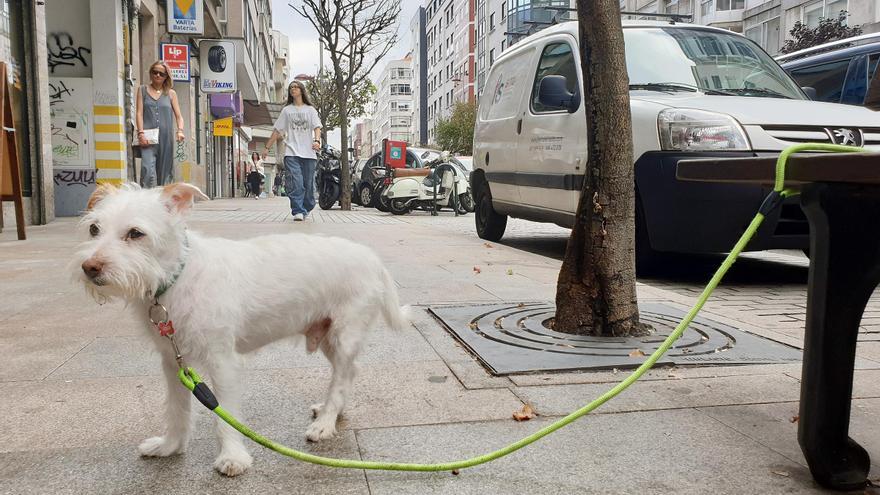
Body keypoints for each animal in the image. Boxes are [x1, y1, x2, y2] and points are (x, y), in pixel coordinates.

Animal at [71, 184, 410, 478]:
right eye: (94, 229)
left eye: (135, 233)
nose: (90, 267)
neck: (178, 276)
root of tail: (372, 259)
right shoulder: (173, 362)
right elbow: (177, 410)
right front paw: (170, 446)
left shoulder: (222, 361)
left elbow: (225, 414)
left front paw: (232, 457)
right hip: (327, 335)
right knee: (350, 370)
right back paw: (332, 411)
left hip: (344, 334)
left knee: (341, 376)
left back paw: (325, 423)